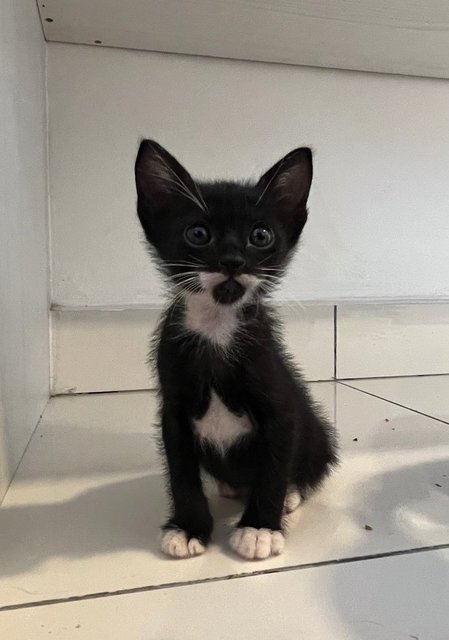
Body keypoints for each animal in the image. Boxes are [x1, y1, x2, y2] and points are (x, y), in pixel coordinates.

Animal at [133, 140, 336, 560]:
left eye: (260, 236)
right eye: (198, 233)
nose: (232, 261)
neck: (217, 330)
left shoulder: (281, 403)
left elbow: (274, 467)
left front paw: (260, 528)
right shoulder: (173, 410)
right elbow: (181, 473)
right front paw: (188, 527)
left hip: (318, 436)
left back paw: (290, 495)